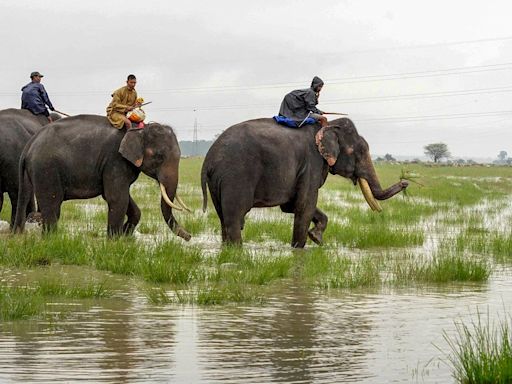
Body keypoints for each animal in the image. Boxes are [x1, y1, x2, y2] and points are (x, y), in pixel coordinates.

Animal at [16, 115, 193, 240]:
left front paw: (125, 235)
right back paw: (51, 240)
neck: (139, 129)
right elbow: (117, 198)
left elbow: (123, 198)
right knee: (52, 205)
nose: (189, 237)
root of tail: (29, 144)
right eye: (159, 157)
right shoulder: (115, 160)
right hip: (46, 168)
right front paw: (113, 242)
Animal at [200, 117, 408, 248]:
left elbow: (292, 205)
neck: (327, 126)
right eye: (358, 152)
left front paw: (316, 238)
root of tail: (209, 158)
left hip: (218, 182)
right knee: (235, 218)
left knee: (223, 217)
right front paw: (300, 248)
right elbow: (304, 205)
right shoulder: (312, 162)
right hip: (236, 175)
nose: (405, 182)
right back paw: (237, 251)